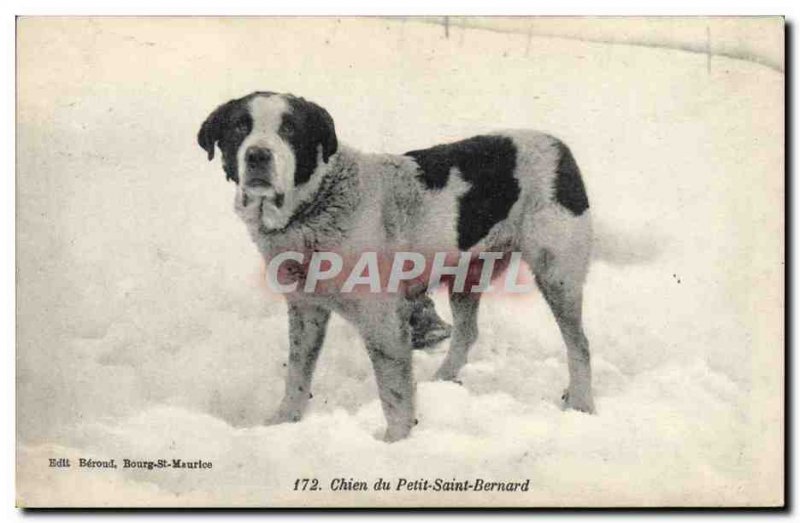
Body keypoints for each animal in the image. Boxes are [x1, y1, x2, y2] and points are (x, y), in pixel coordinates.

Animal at [196, 91, 592, 442]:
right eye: (239, 127)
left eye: (290, 129)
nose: (258, 155)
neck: (316, 204)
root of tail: (560, 146)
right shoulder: (306, 310)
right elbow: (297, 374)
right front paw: (283, 423)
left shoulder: (384, 323)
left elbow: (394, 395)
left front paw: (395, 442)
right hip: (466, 274)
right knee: (467, 333)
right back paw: (442, 381)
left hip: (556, 273)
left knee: (580, 345)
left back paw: (582, 405)